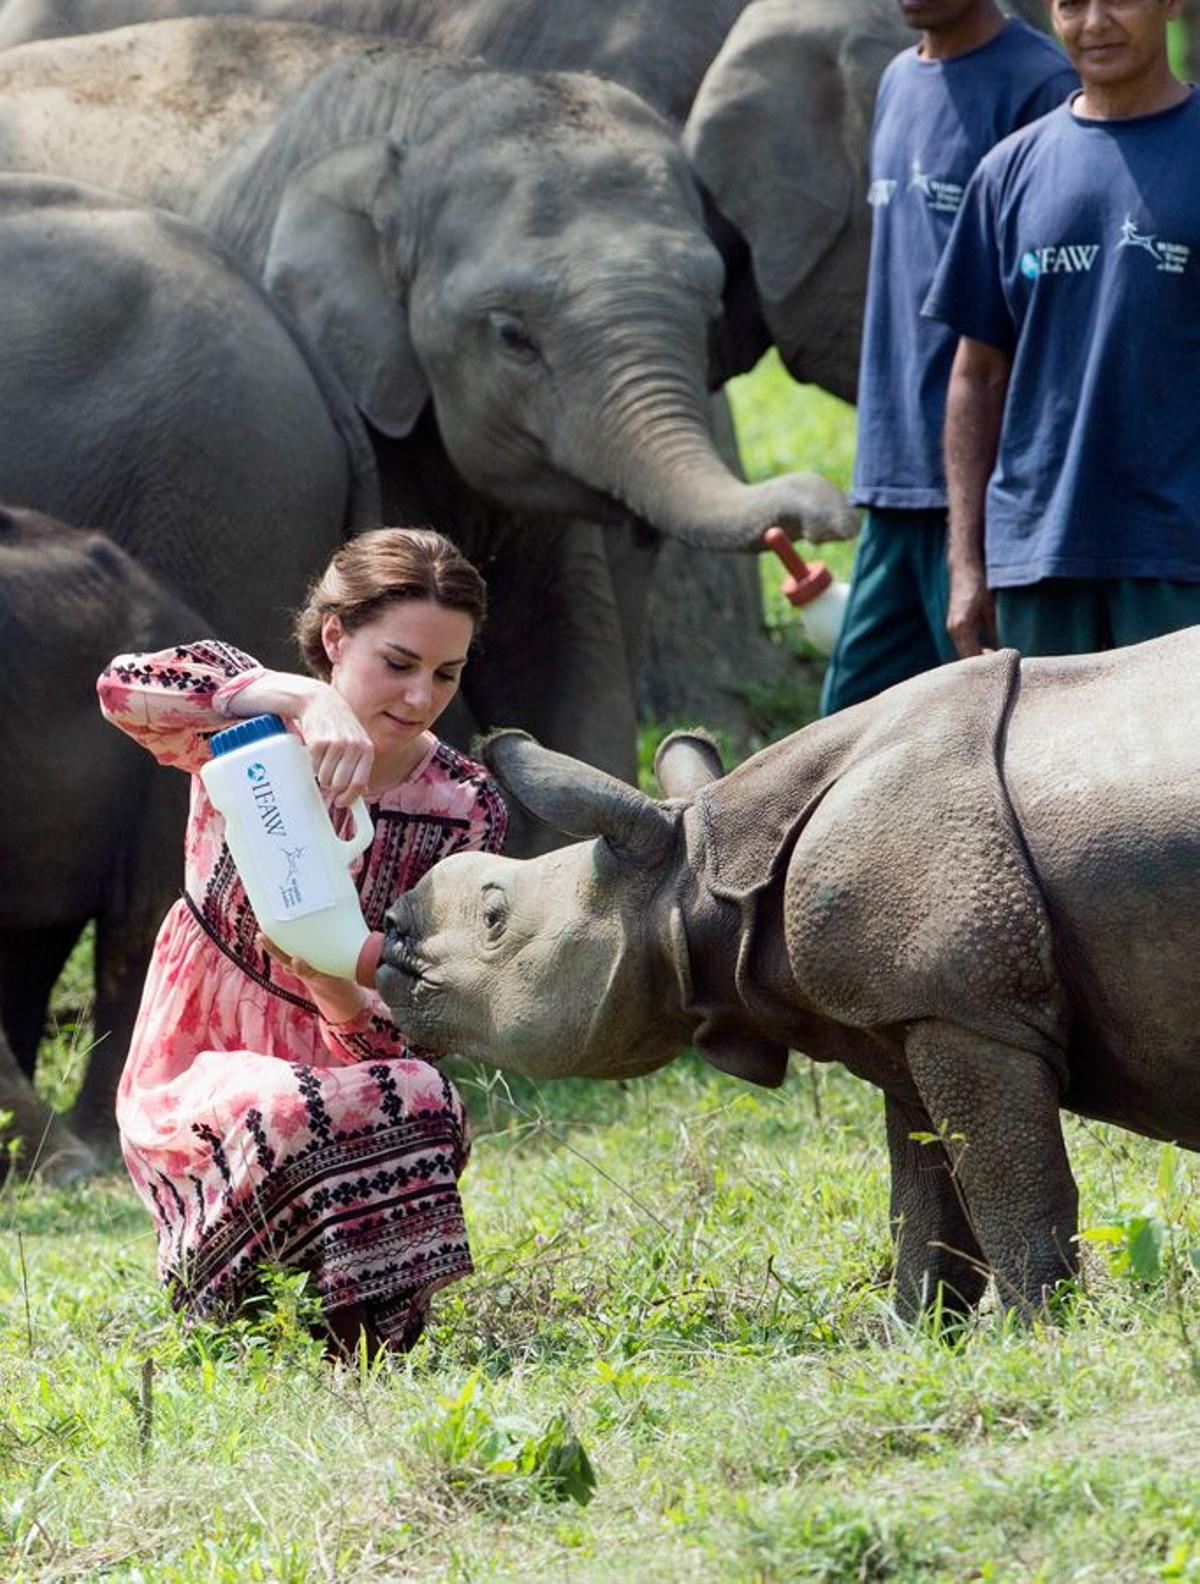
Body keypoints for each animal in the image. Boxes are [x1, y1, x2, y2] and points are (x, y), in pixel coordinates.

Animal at [379, 630, 1200, 1324]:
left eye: (494, 917)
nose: (389, 930)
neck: (695, 879)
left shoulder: (965, 1005)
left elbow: (1011, 1186)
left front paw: (1043, 1332)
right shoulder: (907, 1004)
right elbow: (927, 1201)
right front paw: (910, 1339)